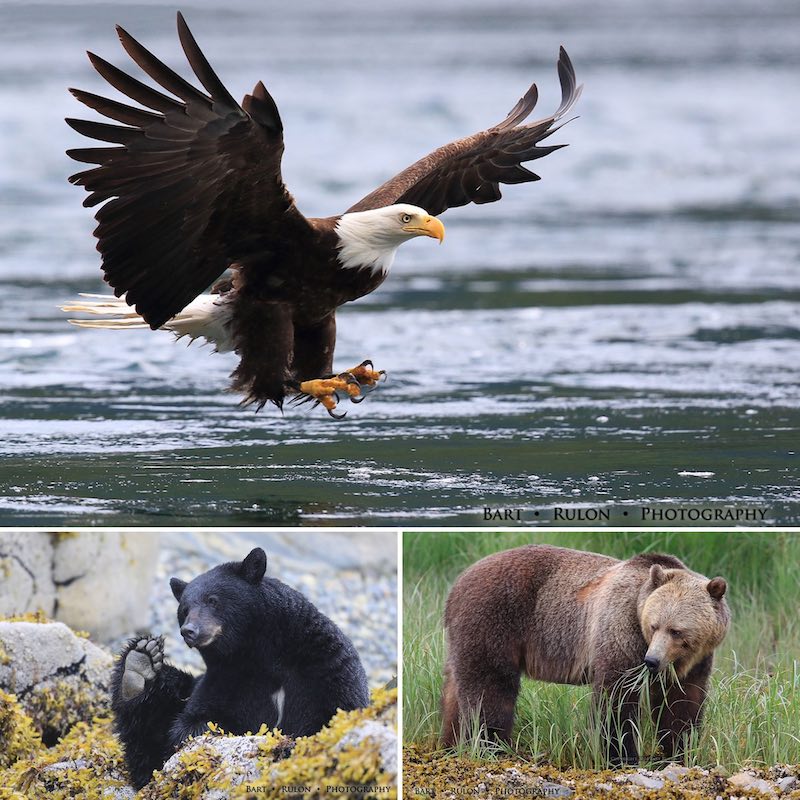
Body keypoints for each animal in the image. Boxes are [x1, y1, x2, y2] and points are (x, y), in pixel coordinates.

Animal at [111, 548, 370, 792]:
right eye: (184, 609)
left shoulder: (325, 668)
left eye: (213, 600)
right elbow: (191, 725)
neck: (262, 654)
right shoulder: (227, 678)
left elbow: (332, 713)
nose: (189, 631)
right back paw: (139, 667)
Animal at [440, 544, 728, 764]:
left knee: (455, 689)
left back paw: (451, 744)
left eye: (676, 631)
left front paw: (682, 751)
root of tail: (456, 586)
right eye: (654, 625)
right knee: (490, 688)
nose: (652, 661)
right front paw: (622, 757)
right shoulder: (621, 630)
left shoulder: (696, 663)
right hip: (493, 619)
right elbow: (616, 699)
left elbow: (682, 704)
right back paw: (492, 745)